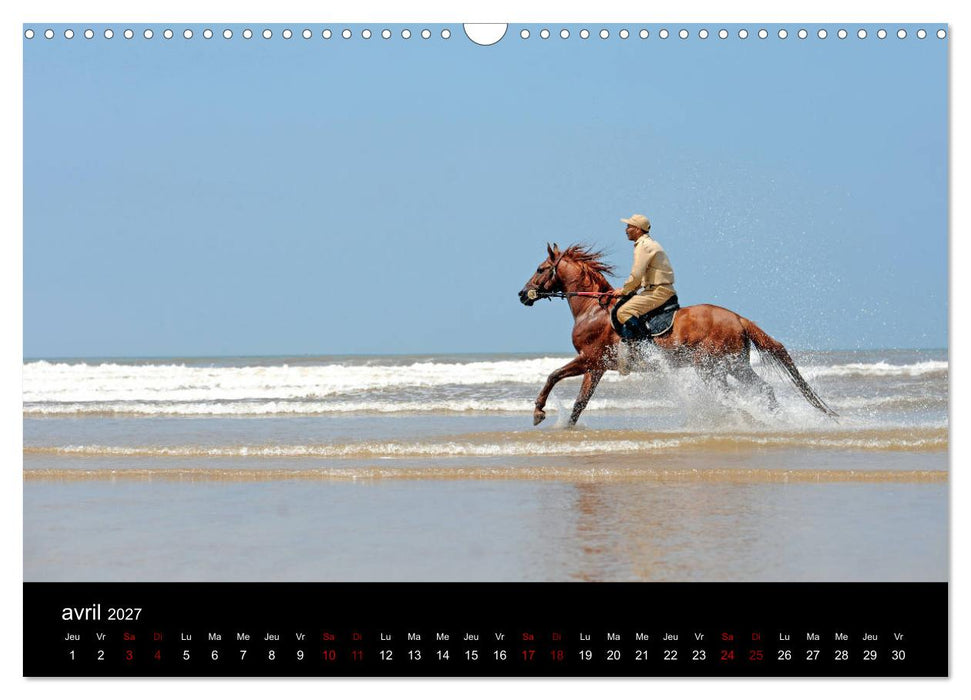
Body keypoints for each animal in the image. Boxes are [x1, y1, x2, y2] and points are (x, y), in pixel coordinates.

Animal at [517, 243, 837, 427]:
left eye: (541, 269)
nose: (522, 294)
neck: (593, 309)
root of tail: (738, 318)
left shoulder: (589, 359)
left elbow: (553, 376)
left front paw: (538, 412)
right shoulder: (597, 368)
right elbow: (579, 404)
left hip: (711, 367)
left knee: (732, 396)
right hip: (734, 366)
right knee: (763, 389)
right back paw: (776, 420)